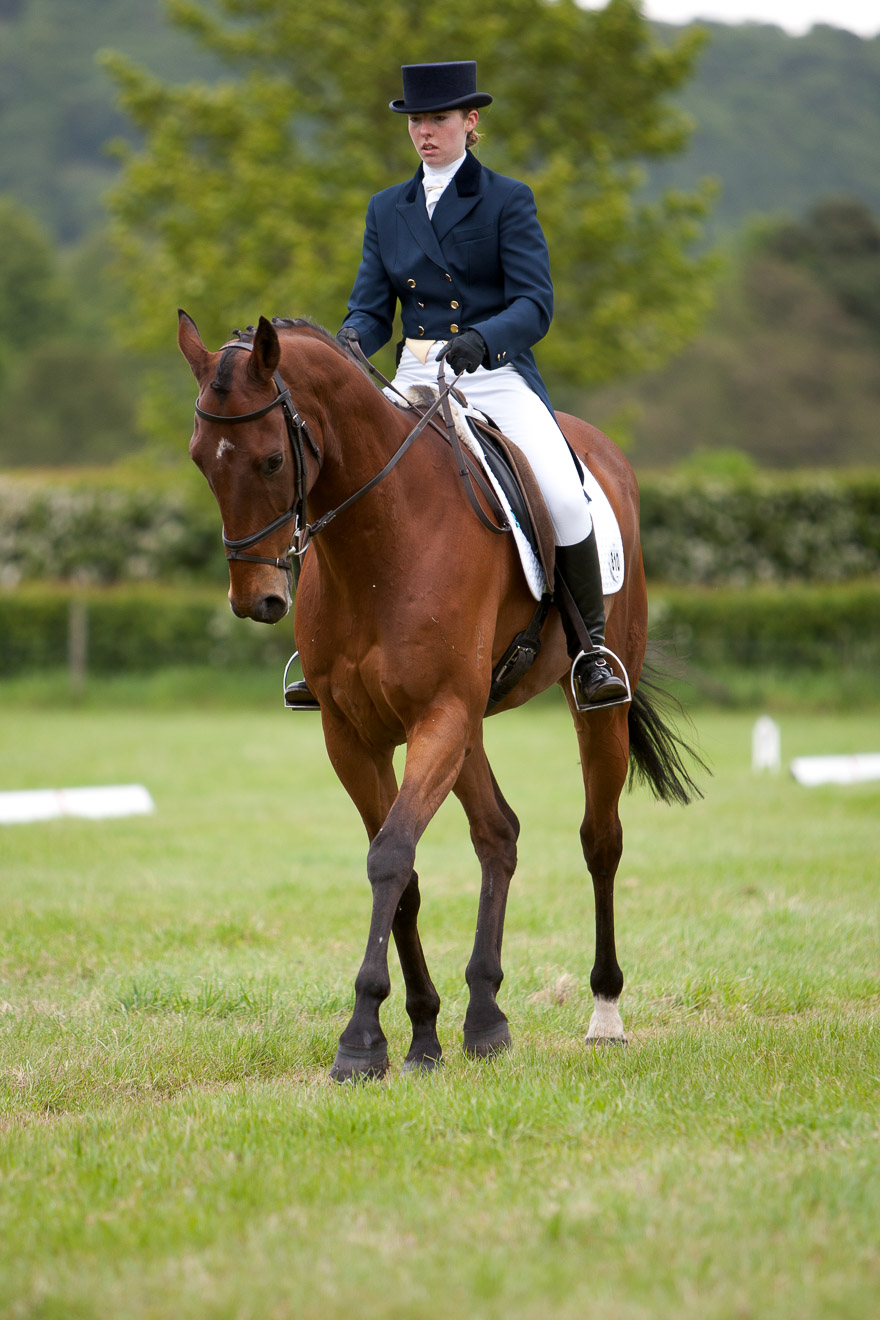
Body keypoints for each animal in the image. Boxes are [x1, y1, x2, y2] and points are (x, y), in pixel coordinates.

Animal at [178, 310, 701, 1082]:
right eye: (200, 461)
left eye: (272, 461)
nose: (258, 600)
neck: (380, 540)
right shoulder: (354, 735)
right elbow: (404, 872)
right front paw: (420, 1031)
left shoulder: (438, 717)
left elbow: (392, 854)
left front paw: (361, 1036)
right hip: (469, 728)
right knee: (499, 833)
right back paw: (484, 1018)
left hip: (586, 704)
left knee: (600, 840)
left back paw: (604, 1013)